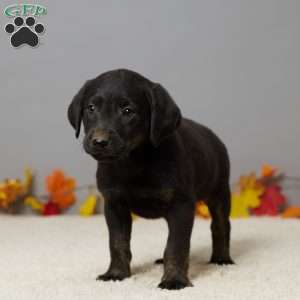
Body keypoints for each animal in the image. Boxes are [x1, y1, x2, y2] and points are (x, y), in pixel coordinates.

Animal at [68, 69, 234, 290]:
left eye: (128, 111)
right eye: (91, 108)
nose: (99, 142)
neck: (133, 162)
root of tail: (214, 137)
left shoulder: (181, 205)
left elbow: (176, 245)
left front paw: (174, 280)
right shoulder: (114, 205)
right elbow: (117, 243)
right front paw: (116, 273)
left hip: (219, 192)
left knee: (220, 225)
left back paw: (222, 258)